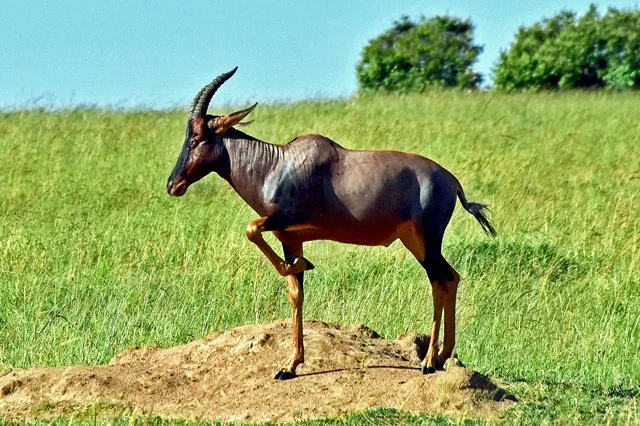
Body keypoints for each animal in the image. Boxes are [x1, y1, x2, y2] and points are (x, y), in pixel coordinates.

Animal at [167, 67, 496, 380]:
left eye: (196, 138)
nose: (173, 185)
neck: (276, 165)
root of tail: (452, 181)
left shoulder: (286, 219)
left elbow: (251, 228)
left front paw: (304, 265)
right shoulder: (290, 238)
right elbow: (295, 293)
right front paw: (289, 365)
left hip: (426, 239)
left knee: (440, 280)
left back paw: (428, 361)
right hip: (413, 241)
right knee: (449, 277)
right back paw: (441, 357)